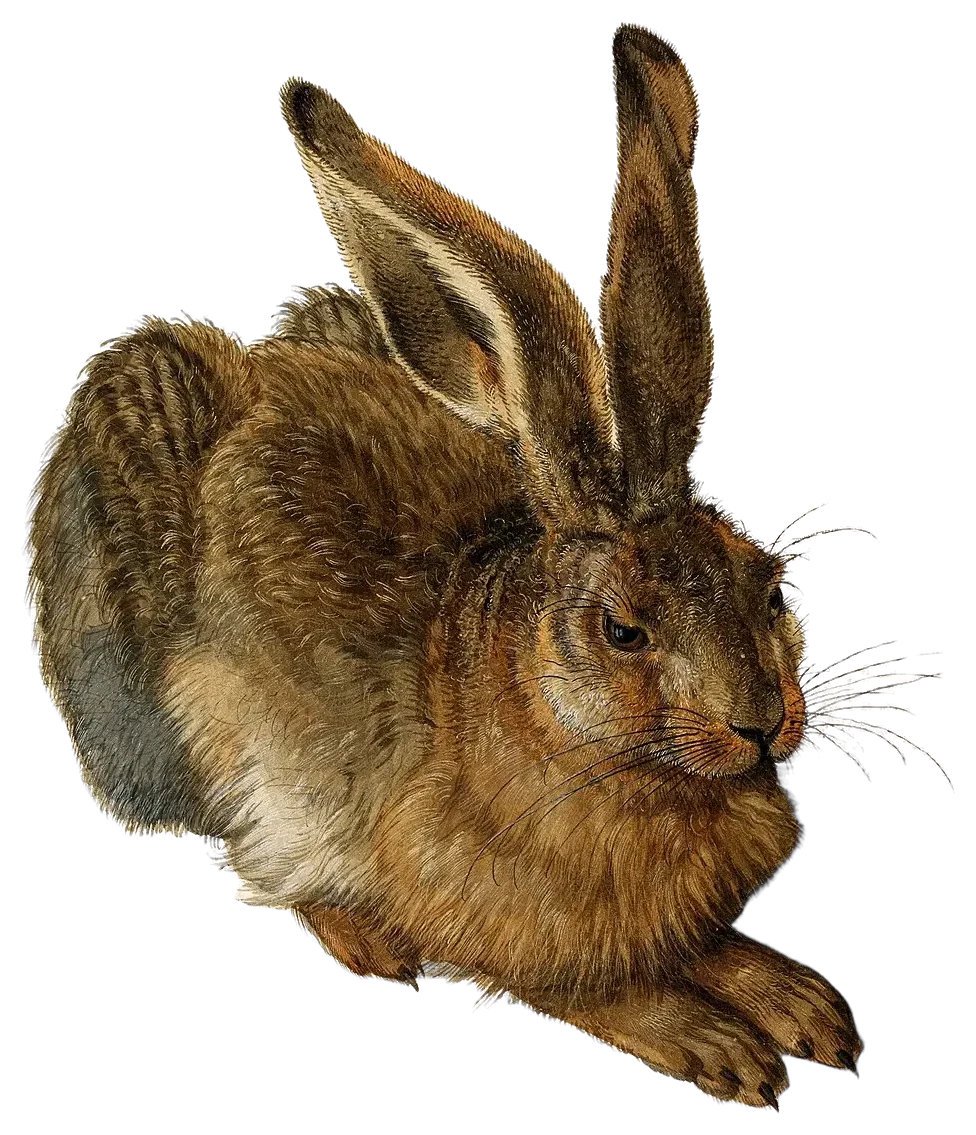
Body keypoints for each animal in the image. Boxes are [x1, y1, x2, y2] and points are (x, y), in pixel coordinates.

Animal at [25, 25, 863, 1110]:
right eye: (623, 629)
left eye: (769, 590)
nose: (762, 724)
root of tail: (260, 370)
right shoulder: (482, 909)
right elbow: (591, 983)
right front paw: (717, 1043)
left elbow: (706, 944)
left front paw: (803, 1006)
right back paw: (365, 941)